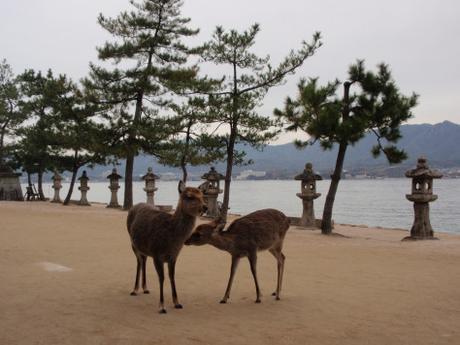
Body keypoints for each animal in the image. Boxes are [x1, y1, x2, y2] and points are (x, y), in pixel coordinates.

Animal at [126, 181, 205, 314]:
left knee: (143, 260)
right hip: (133, 242)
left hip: (144, 248)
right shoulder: (157, 254)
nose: (205, 207)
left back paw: (145, 288)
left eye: (202, 195)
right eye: (189, 196)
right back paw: (135, 290)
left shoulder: (173, 256)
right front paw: (161, 307)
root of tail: (134, 206)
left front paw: (177, 303)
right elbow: (161, 278)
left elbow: (172, 277)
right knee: (139, 262)